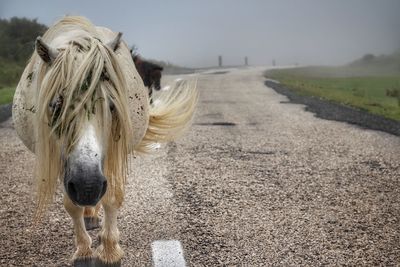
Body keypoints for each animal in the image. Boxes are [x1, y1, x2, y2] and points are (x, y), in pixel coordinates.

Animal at [13, 16, 198, 266]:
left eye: (111, 106)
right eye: (56, 106)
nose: (87, 186)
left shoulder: (111, 154)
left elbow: (111, 198)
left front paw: (110, 249)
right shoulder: (64, 162)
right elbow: (72, 205)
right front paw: (84, 250)